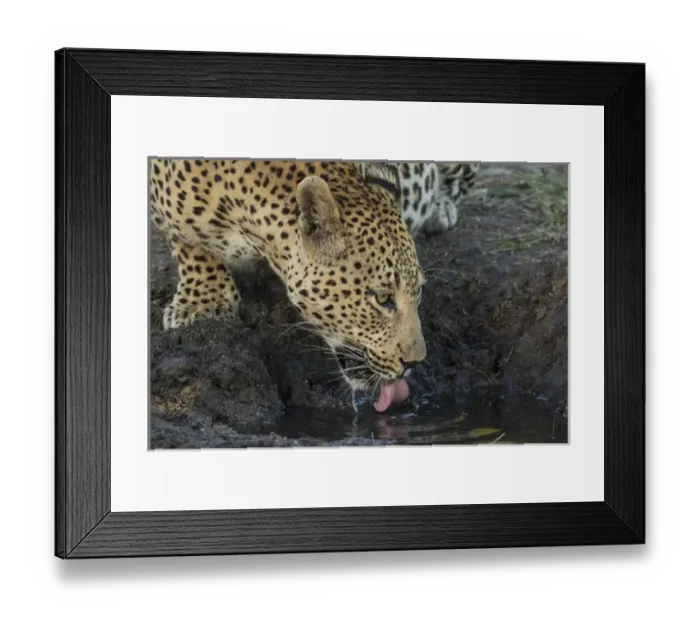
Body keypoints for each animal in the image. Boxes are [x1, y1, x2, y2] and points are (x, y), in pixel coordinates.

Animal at [149, 158, 477, 411]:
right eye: (382, 298)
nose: (415, 362)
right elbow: (189, 242)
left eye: (418, 291)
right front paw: (202, 302)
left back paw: (439, 208)